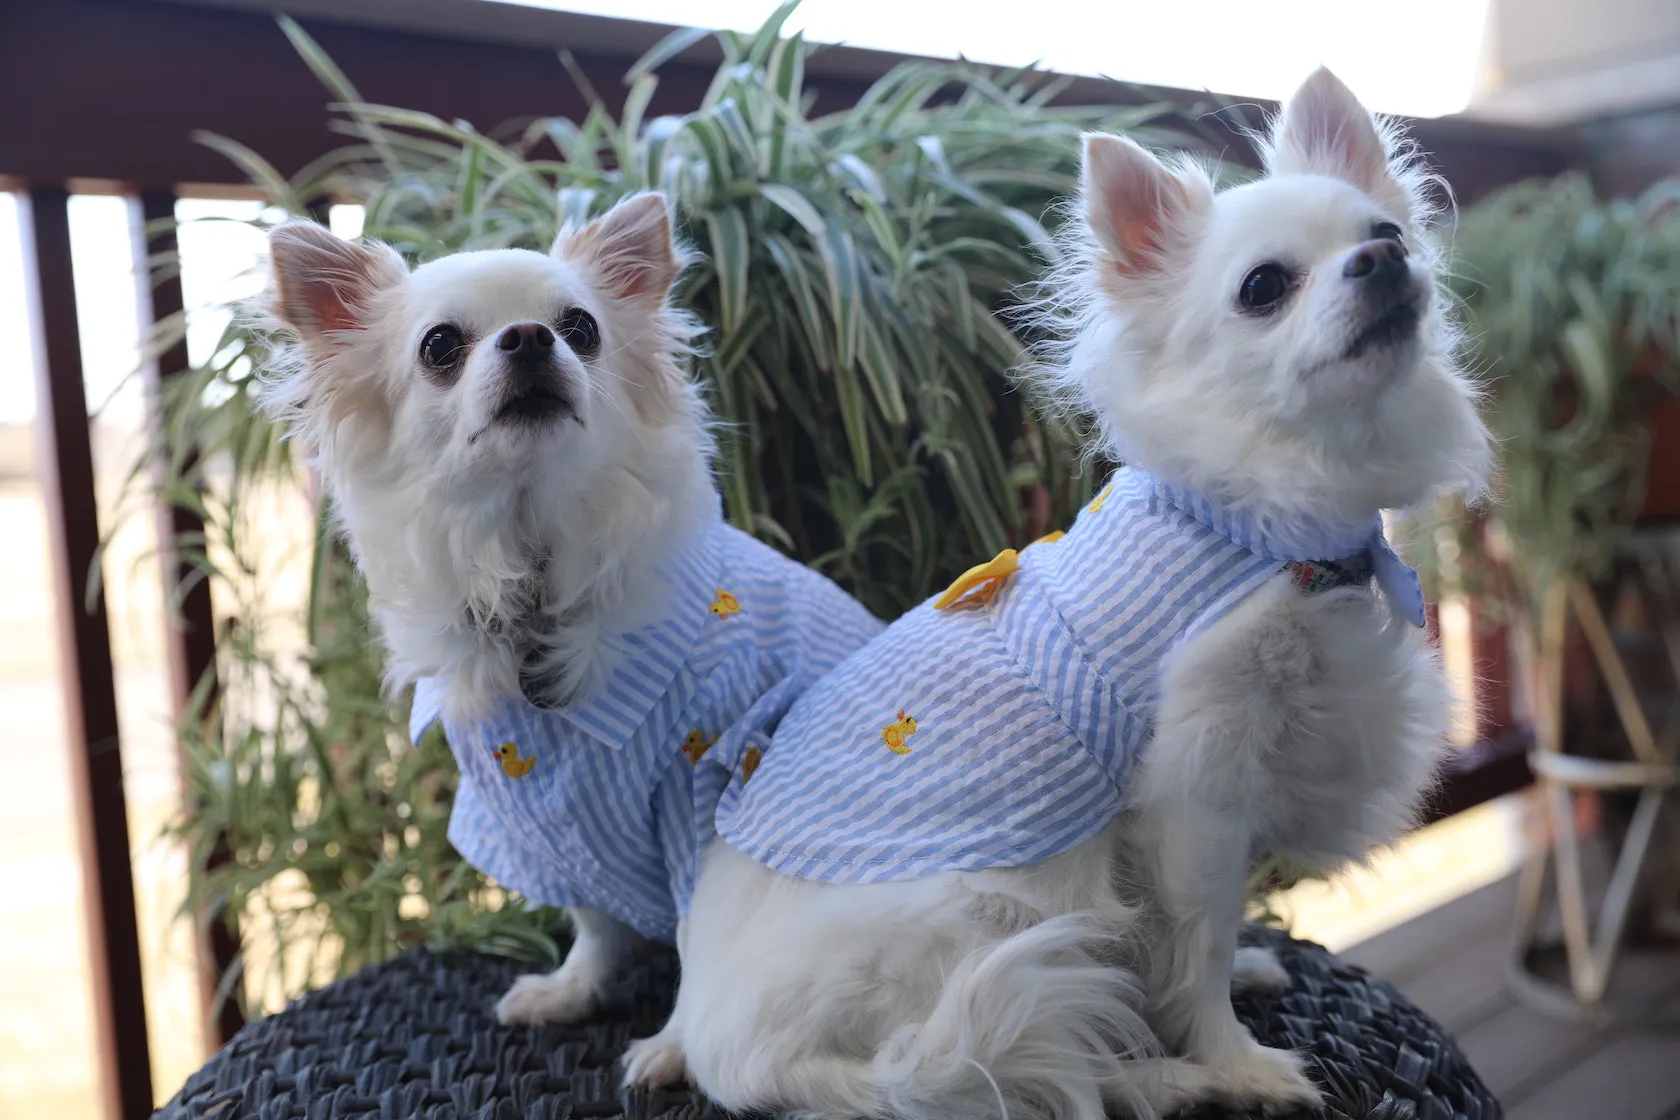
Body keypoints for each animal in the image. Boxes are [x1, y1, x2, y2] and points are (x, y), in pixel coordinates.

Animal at [255, 193, 880, 1088]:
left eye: (581, 328)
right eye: (439, 347)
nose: (529, 337)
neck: (536, 584)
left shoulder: (708, 796)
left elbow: (697, 935)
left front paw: (676, 1046)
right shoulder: (547, 824)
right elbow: (593, 916)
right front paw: (574, 990)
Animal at [668, 72, 1485, 1120]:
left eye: (1385, 230)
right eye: (1265, 287)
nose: (1384, 257)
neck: (1259, 527)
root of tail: (723, 1057)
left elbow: (1203, 937)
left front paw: (1239, 976)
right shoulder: (1197, 793)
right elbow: (1199, 936)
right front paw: (1233, 1058)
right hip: (992, 912)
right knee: (1032, 1057)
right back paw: (1169, 1077)